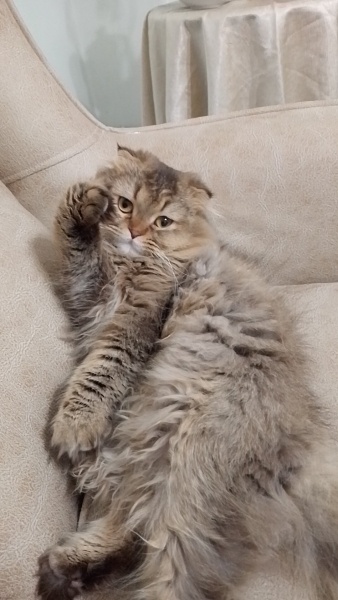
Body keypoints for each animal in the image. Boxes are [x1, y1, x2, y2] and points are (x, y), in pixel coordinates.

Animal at [37, 146, 338, 600]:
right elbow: (73, 239)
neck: (129, 266)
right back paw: (64, 567)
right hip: (143, 456)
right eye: (125, 204)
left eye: (162, 222)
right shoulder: (89, 292)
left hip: (185, 463)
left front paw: (76, 424)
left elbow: (101, 371)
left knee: (169, 562)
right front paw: (87, 199)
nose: (133, 231)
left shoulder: (136, 322)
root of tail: (288, 456)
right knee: (131, 519)